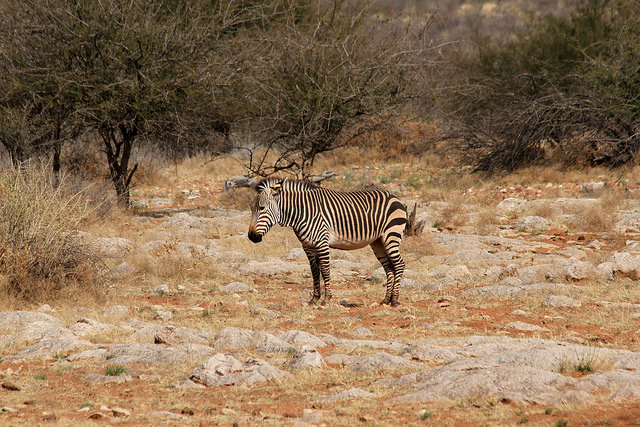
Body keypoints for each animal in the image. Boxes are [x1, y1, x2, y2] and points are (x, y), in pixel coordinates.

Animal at [247, 177, 407, 306]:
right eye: (251, 208)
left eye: (262, 208)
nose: (251, 236)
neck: (301, 212)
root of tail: (394, 197)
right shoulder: (308, 246)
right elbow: (314, 272)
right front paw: (314, 299)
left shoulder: (322, 242)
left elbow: (325, 270)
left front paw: (326, 299)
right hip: (378, 242)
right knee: (389, 267)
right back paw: (386, 300)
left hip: (391, 235)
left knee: (399, 264)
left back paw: (394, 300)